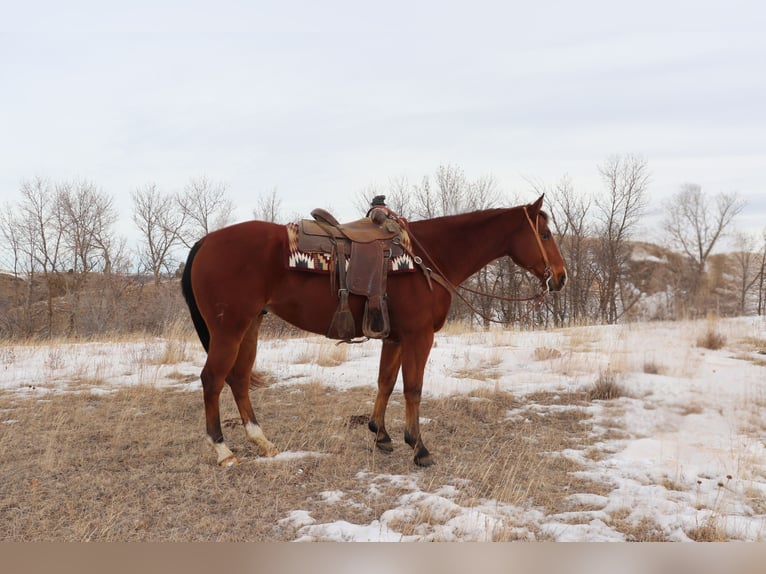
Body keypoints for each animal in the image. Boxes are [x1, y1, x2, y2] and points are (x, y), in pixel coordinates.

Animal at [180, 196, 564, 470]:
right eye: (544, 234)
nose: (560, 277)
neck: (426, 258)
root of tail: (204, 242)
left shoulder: (394, 337)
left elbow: (385, 382)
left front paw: (381, 435)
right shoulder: (418, 336)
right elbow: (412, 389)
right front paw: (419, 448)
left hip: (250, 326)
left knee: (239, 378)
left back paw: (262, 441)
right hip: (229, 328)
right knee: (213, 379)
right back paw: (223, 451)